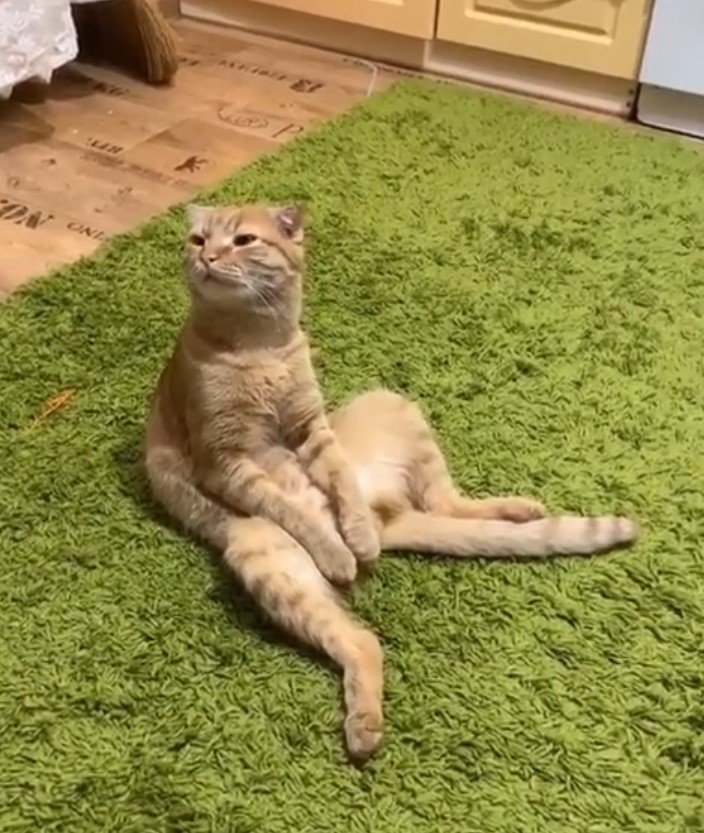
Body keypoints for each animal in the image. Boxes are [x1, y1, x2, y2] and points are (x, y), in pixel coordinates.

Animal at [144, 202, 640, 760]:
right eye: (197, 239)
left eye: (243, 240)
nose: (206, 257)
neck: (258, 344)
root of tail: (391, 523)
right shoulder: (224, 461)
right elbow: (294, 508)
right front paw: (338, 550)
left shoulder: (313, 429)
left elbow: (340, 481)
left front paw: (354, 534)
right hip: (265, 556)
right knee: (363, 639)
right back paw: (364, 727)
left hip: (392, 402)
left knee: (446, 503)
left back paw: (508, 510)